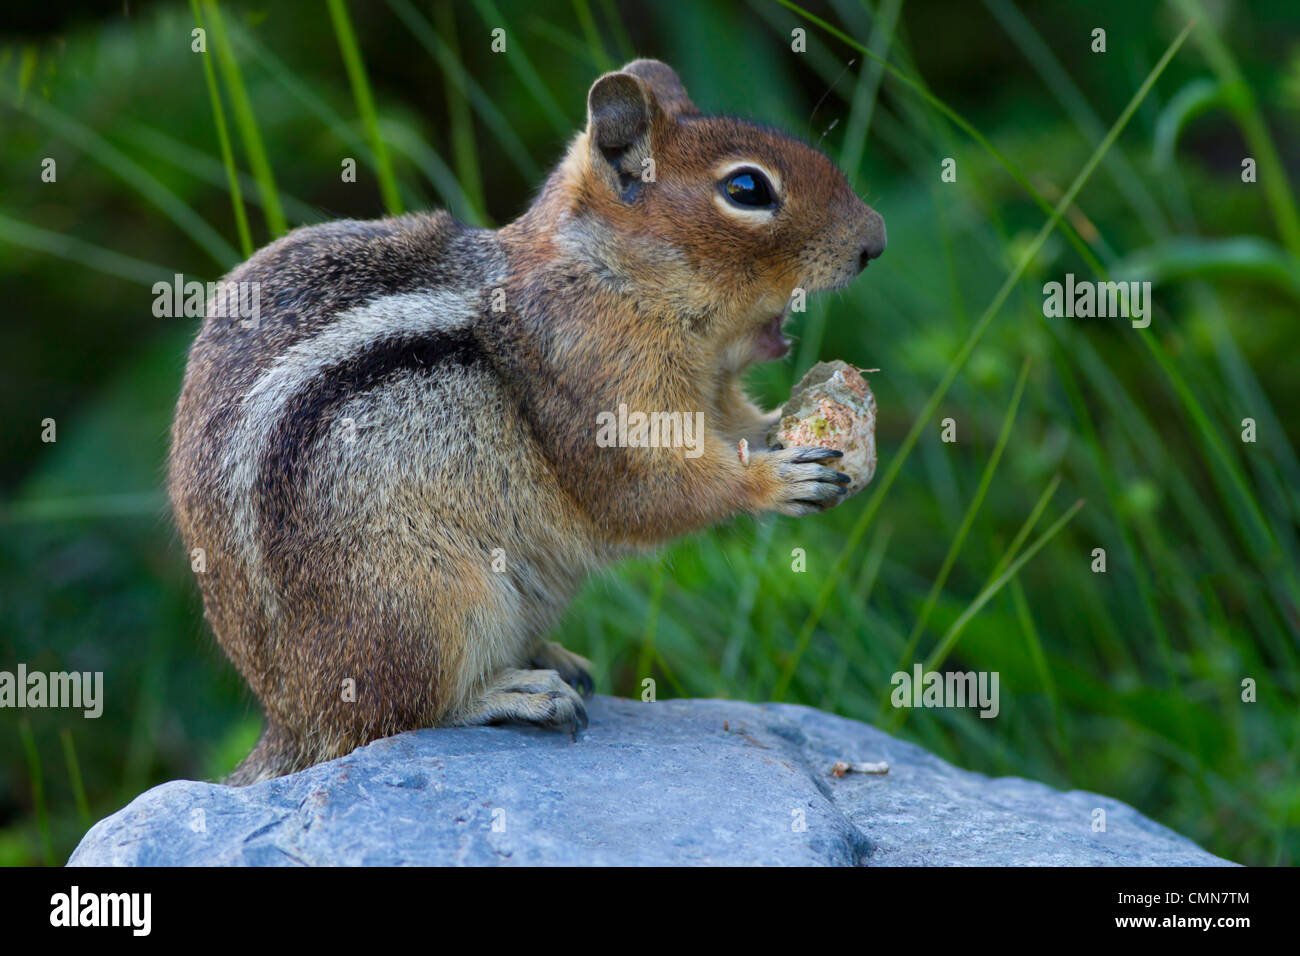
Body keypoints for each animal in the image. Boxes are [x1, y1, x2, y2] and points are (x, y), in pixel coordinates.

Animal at [170, 57, 883, 785]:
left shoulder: (710, 397)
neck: (612, 278)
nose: (875, 242)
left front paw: (791, 434)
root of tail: (288, 722)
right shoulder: (602, 390)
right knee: (397, 718)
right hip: (430, 600)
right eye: (747, 188)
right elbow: (651, 492)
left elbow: (736, 428)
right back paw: (518, 693)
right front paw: (778, 481)